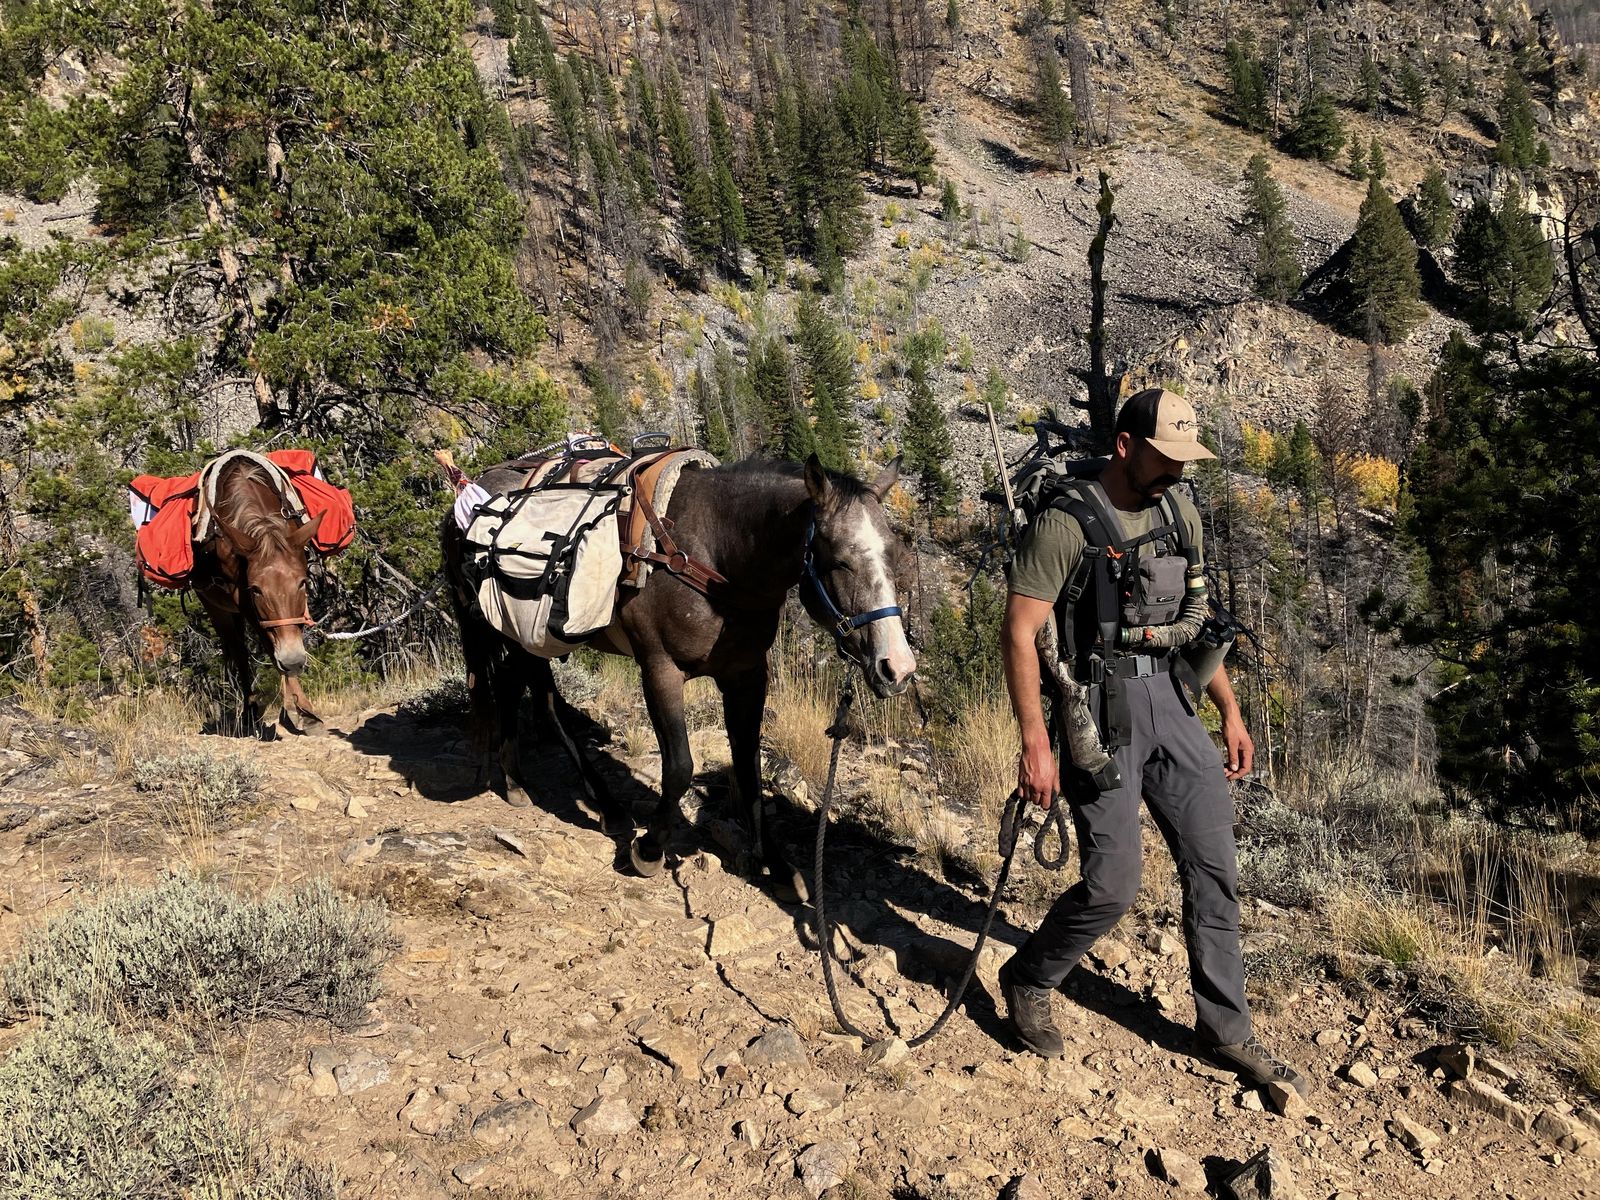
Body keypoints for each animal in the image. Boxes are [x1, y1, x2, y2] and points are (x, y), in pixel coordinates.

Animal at [193, 458, 327, 736]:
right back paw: (250, 712)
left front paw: (304, 712)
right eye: (255, 589)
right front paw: (300, 712)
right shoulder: (240, 597)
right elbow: (268, 644)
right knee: (239, 652)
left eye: (303, 582)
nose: (293, 661)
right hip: (214, 606)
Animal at [441, 452, 917, 889]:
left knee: (515, 689)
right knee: (544, 705)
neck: (714, 556)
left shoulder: (746, 676)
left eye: (897, 555)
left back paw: (518, 781)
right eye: (838, 560)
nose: (897, 668)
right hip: (507, 629)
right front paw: (650, 848)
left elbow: (748, 767)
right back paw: (602, 805)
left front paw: (777, 865)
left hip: (520, 636)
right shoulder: (660, 670)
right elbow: (680, 767)